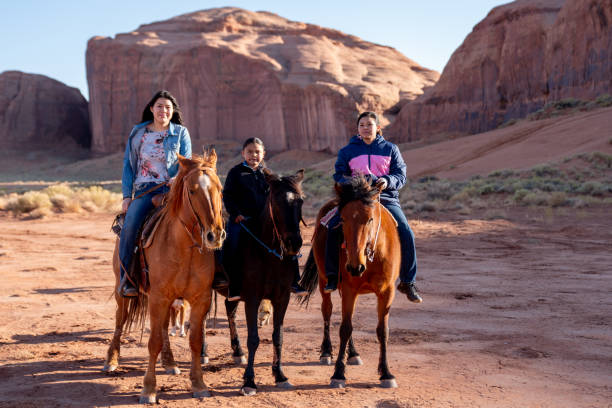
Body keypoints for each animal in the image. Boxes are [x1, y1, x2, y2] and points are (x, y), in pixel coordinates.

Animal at [103, 151, 227, 404]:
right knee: (120, 320)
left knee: (162, 328)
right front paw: (148, 390)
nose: (215, 235)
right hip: (124, 290)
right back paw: (112, 360)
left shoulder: (199, 299)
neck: (184, 247)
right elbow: (153, 343)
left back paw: (170, 362)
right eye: (192, 190)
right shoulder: (158, 297)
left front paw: (199, 384)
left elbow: (194, 340)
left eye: (219, 189)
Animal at [232, 167, 306, 396]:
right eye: (276, 201)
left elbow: (277, 336)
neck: (269, 254)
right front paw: (249, 381)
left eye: (300, 201)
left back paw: (236, 352)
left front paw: (279, 374)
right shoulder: (252, 298)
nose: (294, 243)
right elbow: (253, 339)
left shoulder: (282, 298)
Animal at [302, 178, 402, 388]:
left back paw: (353, 353)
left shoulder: (387, 292)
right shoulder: (349, 289)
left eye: (370, 219)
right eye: (343, 219)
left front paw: (386, 373)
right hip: (325, 283)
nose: (355, 267)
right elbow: (345, 328)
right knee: (327, 311)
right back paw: (326, 352)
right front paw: (338, 374)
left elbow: (383, 331)